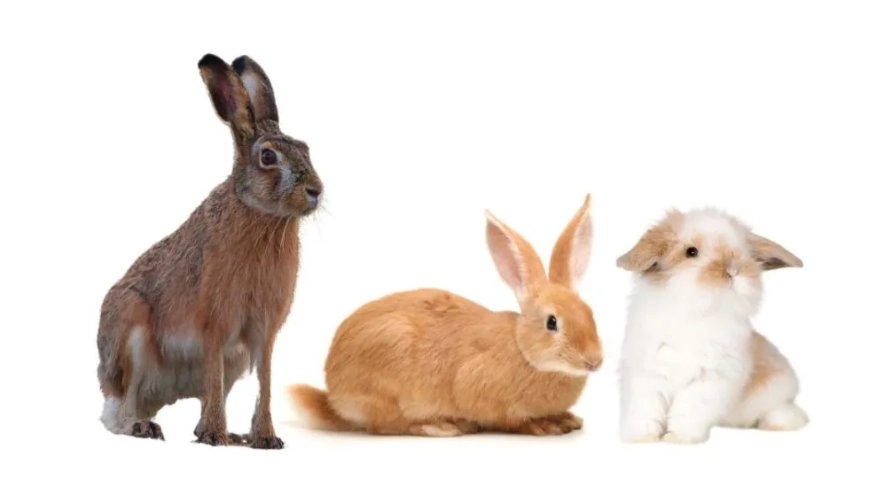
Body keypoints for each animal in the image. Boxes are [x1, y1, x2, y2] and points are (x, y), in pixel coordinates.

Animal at [96, 53, 323, 449]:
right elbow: (215, 375)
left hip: (234, 360)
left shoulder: (262, 333)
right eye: (267, 157)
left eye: (305, 149)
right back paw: (145, 427)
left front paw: (265, 438)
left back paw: (228, 434)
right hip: (129, 334)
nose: (316, 190)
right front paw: (217, 436)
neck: (259, 213)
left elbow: (264, 380)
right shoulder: (214, 323)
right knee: (119, 411)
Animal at [286, 194, 603, 437]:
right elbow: (510, 420)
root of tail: (335, 398)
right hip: (388, 385)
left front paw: (567, 419)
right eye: (552, 322)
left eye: (589, 313)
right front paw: (545, 426)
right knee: (388, 425)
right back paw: (441, 426)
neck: (524, 352)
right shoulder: (480, 389)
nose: (594, 361)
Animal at [614, 206, 808, 444]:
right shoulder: (648, 374)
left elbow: (687, 410)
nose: (733, 270)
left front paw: (677, 438)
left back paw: (780, 422)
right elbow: (645, 409)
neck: (696, 316)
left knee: (787, 411)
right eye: (691, 252)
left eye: (745, 253)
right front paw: (642, 438)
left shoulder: (708, 380)